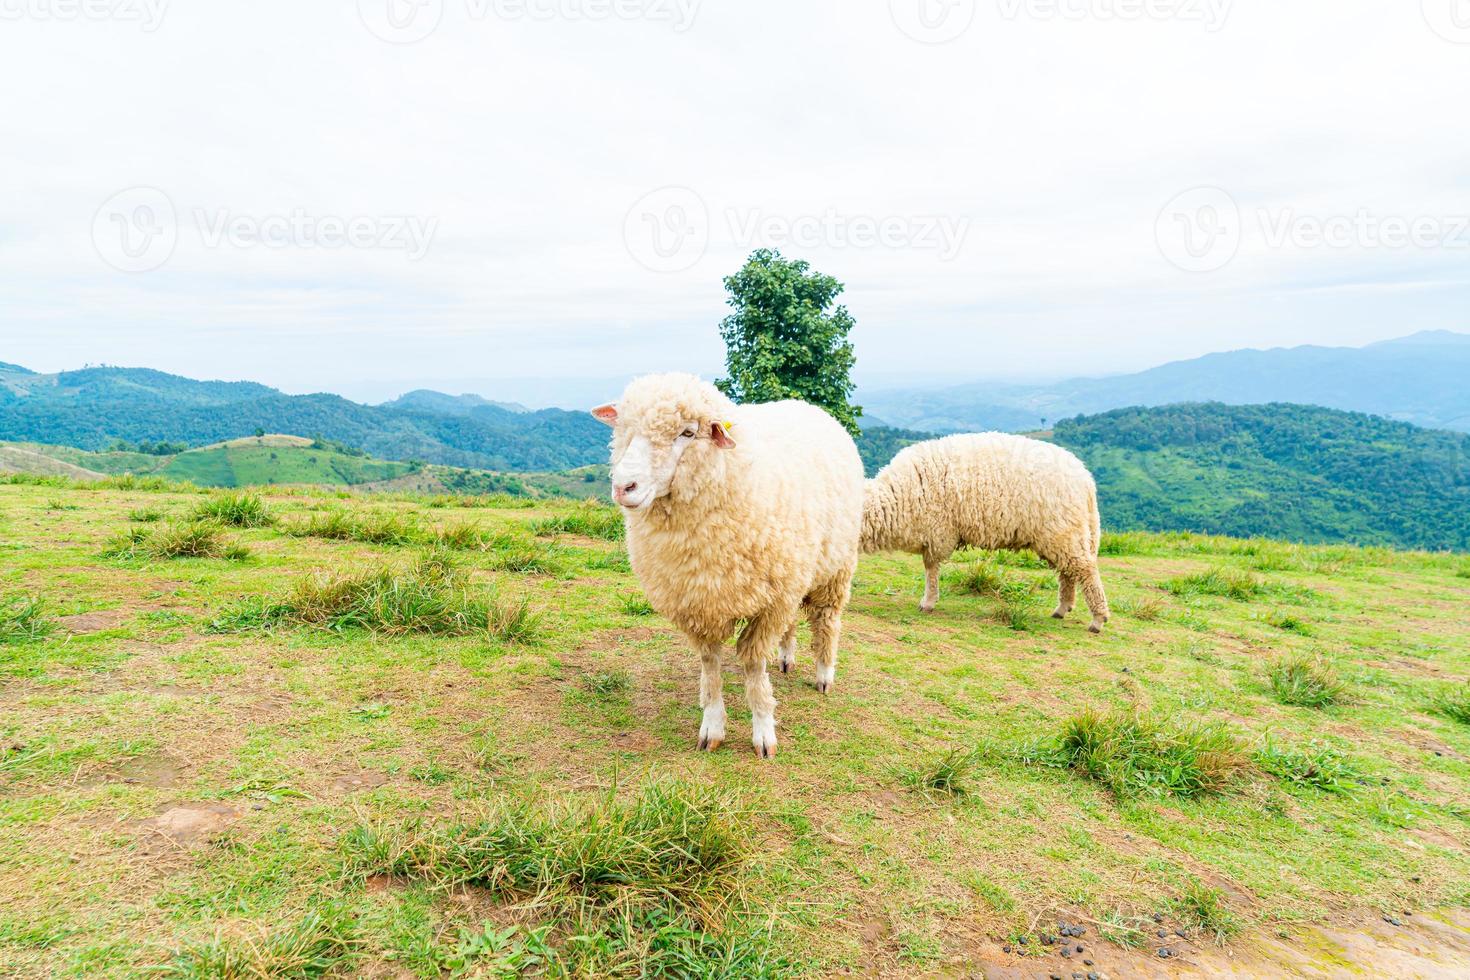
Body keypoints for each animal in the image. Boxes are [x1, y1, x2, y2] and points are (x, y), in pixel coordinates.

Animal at [590, 373, 864, 758]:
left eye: (687, 433)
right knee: (793, 622)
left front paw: (763, 731)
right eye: (624, 429)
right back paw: (786, 658)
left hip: (834, 568)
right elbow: (710, 664)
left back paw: (824, 674)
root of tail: (805, 405)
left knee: (826, 620)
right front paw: (713, 726)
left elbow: (752, 662)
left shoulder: (770, 604)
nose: (623, 486)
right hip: (795, 574)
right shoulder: (699, 604)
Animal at [858, 431, 1105, 631]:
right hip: (1062, 534)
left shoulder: (938, 531)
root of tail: (1085, 478)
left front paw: (928, 602)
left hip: (1062, 530)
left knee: (1085, 570)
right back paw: (1062, 608)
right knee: (1069, 571)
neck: (896, 497)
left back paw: (1098, 619)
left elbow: (931, 570)